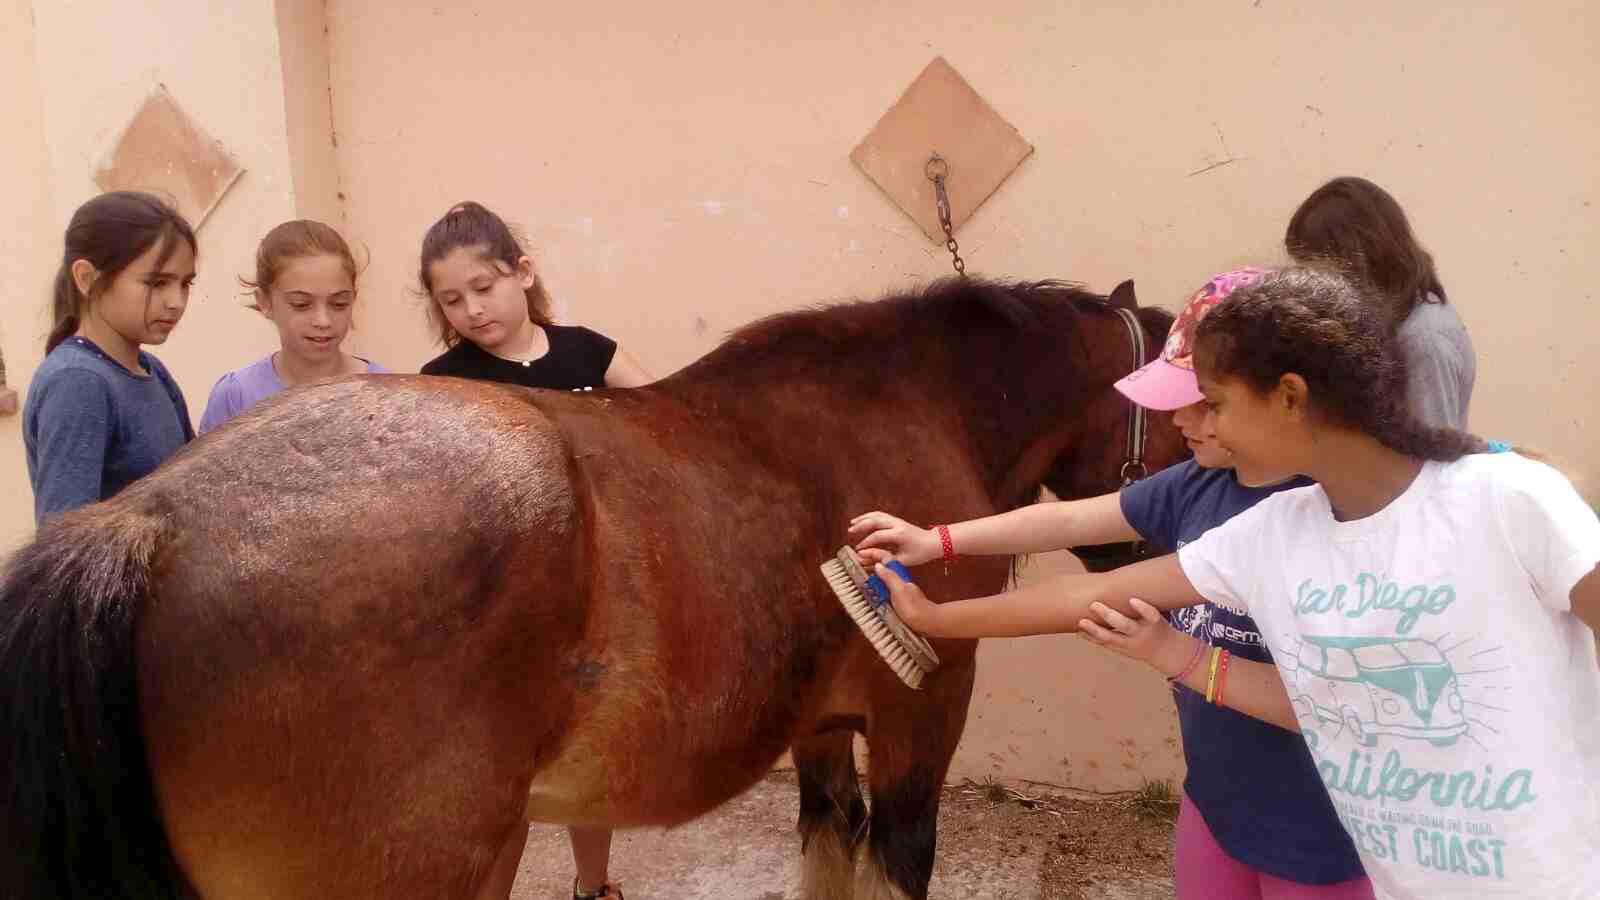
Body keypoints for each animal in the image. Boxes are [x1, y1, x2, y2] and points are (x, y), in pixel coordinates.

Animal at [0, 276, 1181, 900]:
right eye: (1180, 419)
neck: (903, 407)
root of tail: (148, 521)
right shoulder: (916, 717)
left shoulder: (818, 731)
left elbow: (825, 846)